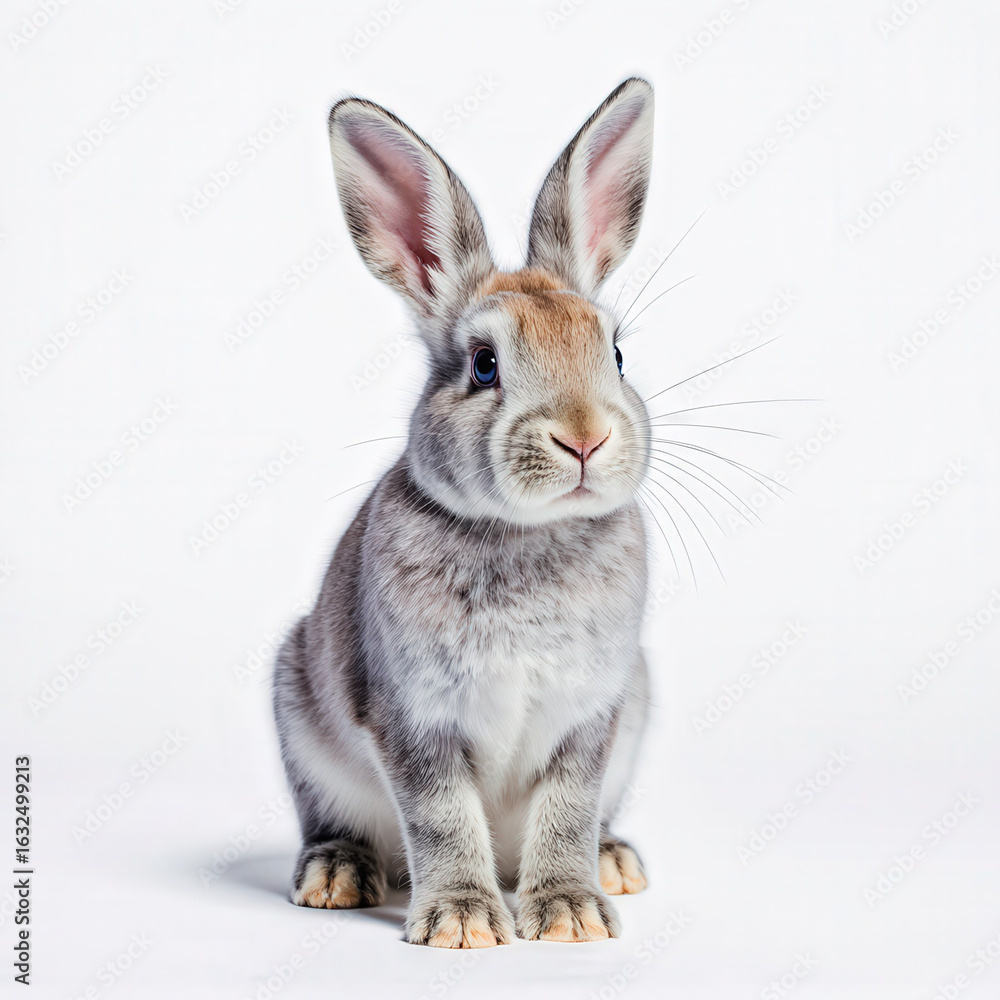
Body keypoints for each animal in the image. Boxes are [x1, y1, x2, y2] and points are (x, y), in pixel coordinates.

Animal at [273, 77, 656, 948]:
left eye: (616, 354)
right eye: (484, 366)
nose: (585, 436)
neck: (527, 535)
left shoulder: (591, 716)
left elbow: (568, 810)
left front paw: (571, 915)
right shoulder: (414, 716)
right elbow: (442, 817)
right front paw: (462, 923)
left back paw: (615, 861)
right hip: (300, 716)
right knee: (334, 824)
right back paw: (337, 876)